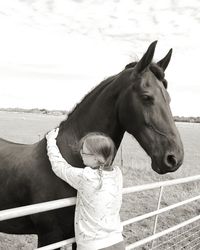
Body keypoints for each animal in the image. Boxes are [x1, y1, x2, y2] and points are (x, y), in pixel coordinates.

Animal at [0, 42, 184, 249]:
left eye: (168, 98)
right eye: (147, 97)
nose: (174, 158)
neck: (69, 160)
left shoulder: (73, 236)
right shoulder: (49, 237)